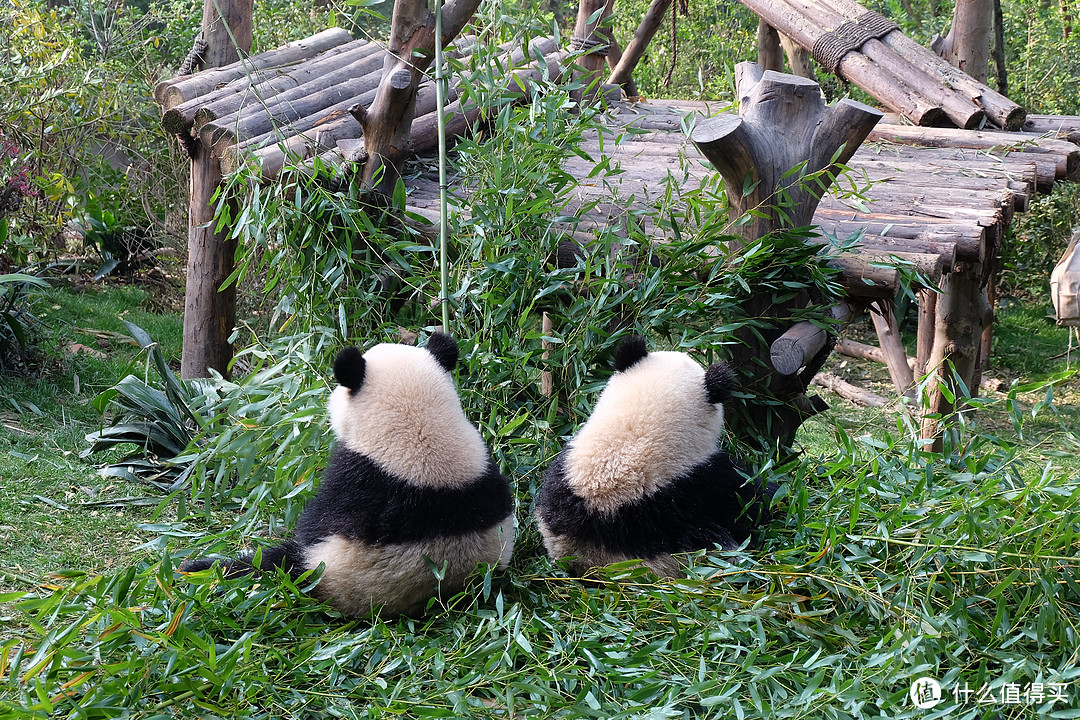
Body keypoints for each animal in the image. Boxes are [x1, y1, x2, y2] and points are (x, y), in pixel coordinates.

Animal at [179, 334, 516, 621]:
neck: (422, 429)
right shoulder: (489, 473)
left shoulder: (349, 483)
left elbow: (313, 523)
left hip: (320, 571)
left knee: (264, 567)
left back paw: (196, 568)